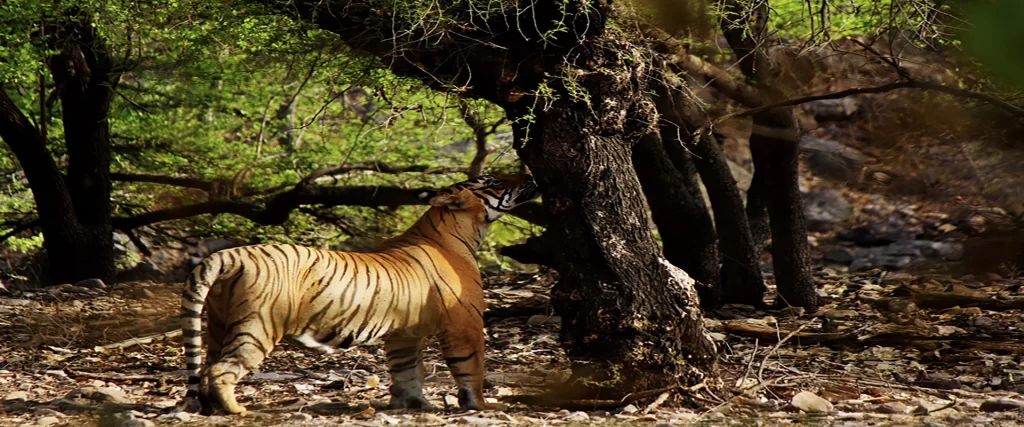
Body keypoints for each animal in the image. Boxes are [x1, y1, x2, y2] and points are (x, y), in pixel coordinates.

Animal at [176, 172, 544, 413]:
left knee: (208, 366)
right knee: (222, 369)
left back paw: (211, 407)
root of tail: (231, 254)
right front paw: (480, 406)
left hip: (220, 323)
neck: (462, 231)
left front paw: (413, 405)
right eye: (493, 181)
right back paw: (237, 411)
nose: (528, 172)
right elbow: (472, 368)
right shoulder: (463, 323)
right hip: (258, 325)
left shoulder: (404, 333)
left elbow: (406, 371)